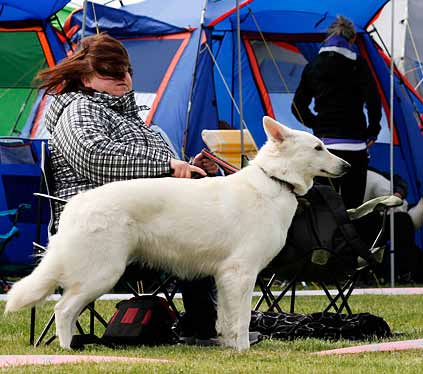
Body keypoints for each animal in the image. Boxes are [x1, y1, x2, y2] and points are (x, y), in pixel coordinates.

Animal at [5, 116, 352, 350]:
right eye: (318, 147)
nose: (348, 167)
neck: (275, 179)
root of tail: (75, 205)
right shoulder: (241, 273)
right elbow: (241, 319)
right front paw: (243, 350)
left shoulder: (226, 278)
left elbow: (226, 318)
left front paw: (229, 347)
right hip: (103, 274)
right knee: (62, 309)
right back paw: (69, 349)